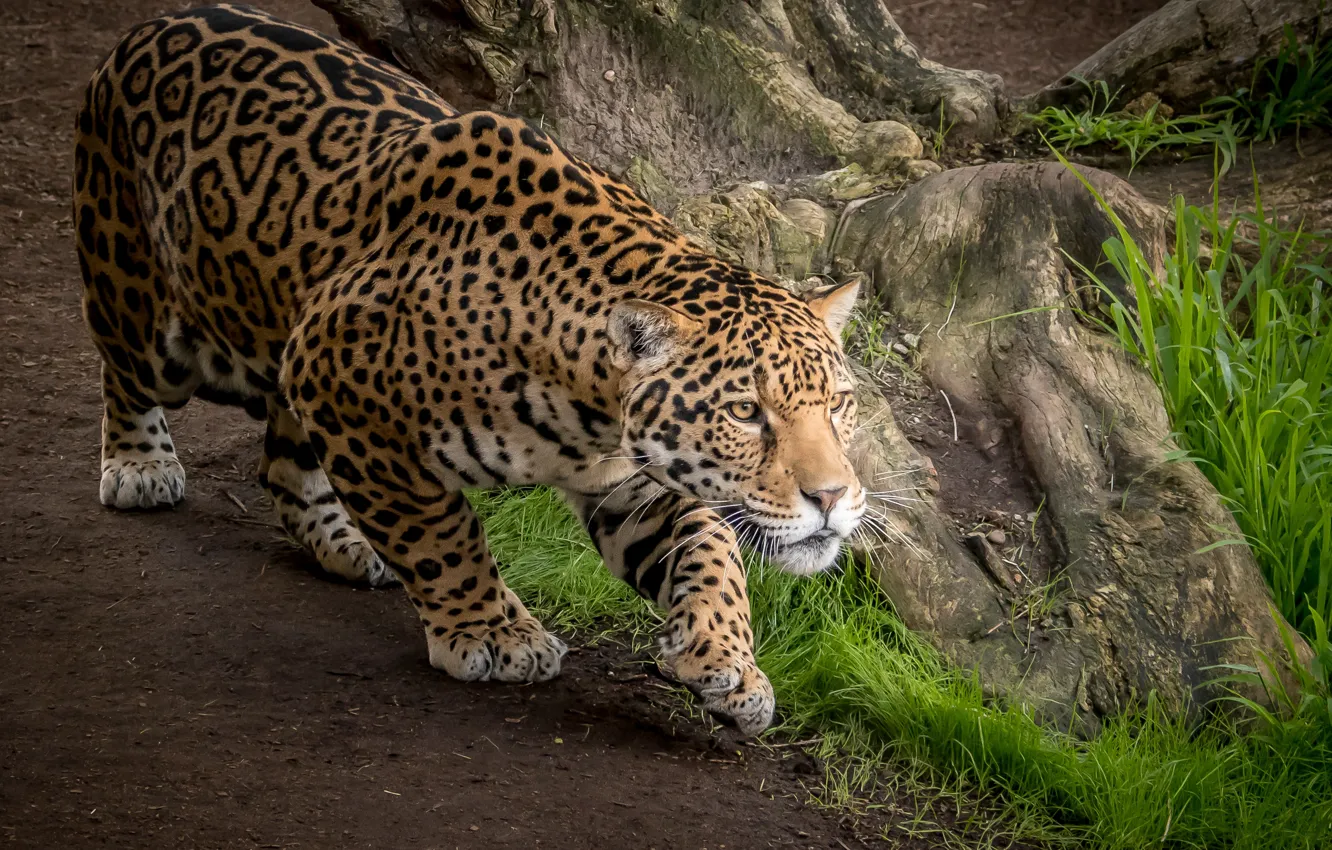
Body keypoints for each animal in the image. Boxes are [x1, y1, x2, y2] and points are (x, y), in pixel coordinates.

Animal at [73, 3, 866, 735]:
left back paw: (344, 542)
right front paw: (494, 631)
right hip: (152, 310)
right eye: (745, 412)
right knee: (125, 368)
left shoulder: (632, 482)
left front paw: (727, 660)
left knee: (283, 464)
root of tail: (155, 24)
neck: (590, 409)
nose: (833, 497)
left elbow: (712, 551)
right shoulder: (346, 390)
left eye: (839, 404)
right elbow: (439, 529)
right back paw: (141, 466)